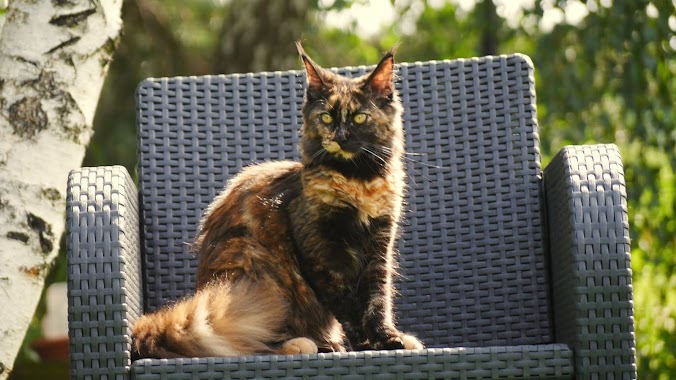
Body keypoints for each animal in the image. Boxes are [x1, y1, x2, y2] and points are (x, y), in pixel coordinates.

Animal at [131, 43, 422, 358]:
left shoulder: (379, 247)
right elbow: (347, 307)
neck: (357, 182)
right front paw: (365, 345)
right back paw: (304, 344)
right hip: (258, 271)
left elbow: (377, 302)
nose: (340, 137)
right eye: (326, 118)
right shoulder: (322, 252)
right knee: (249, 341)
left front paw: (388, 339)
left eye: (359, 118)